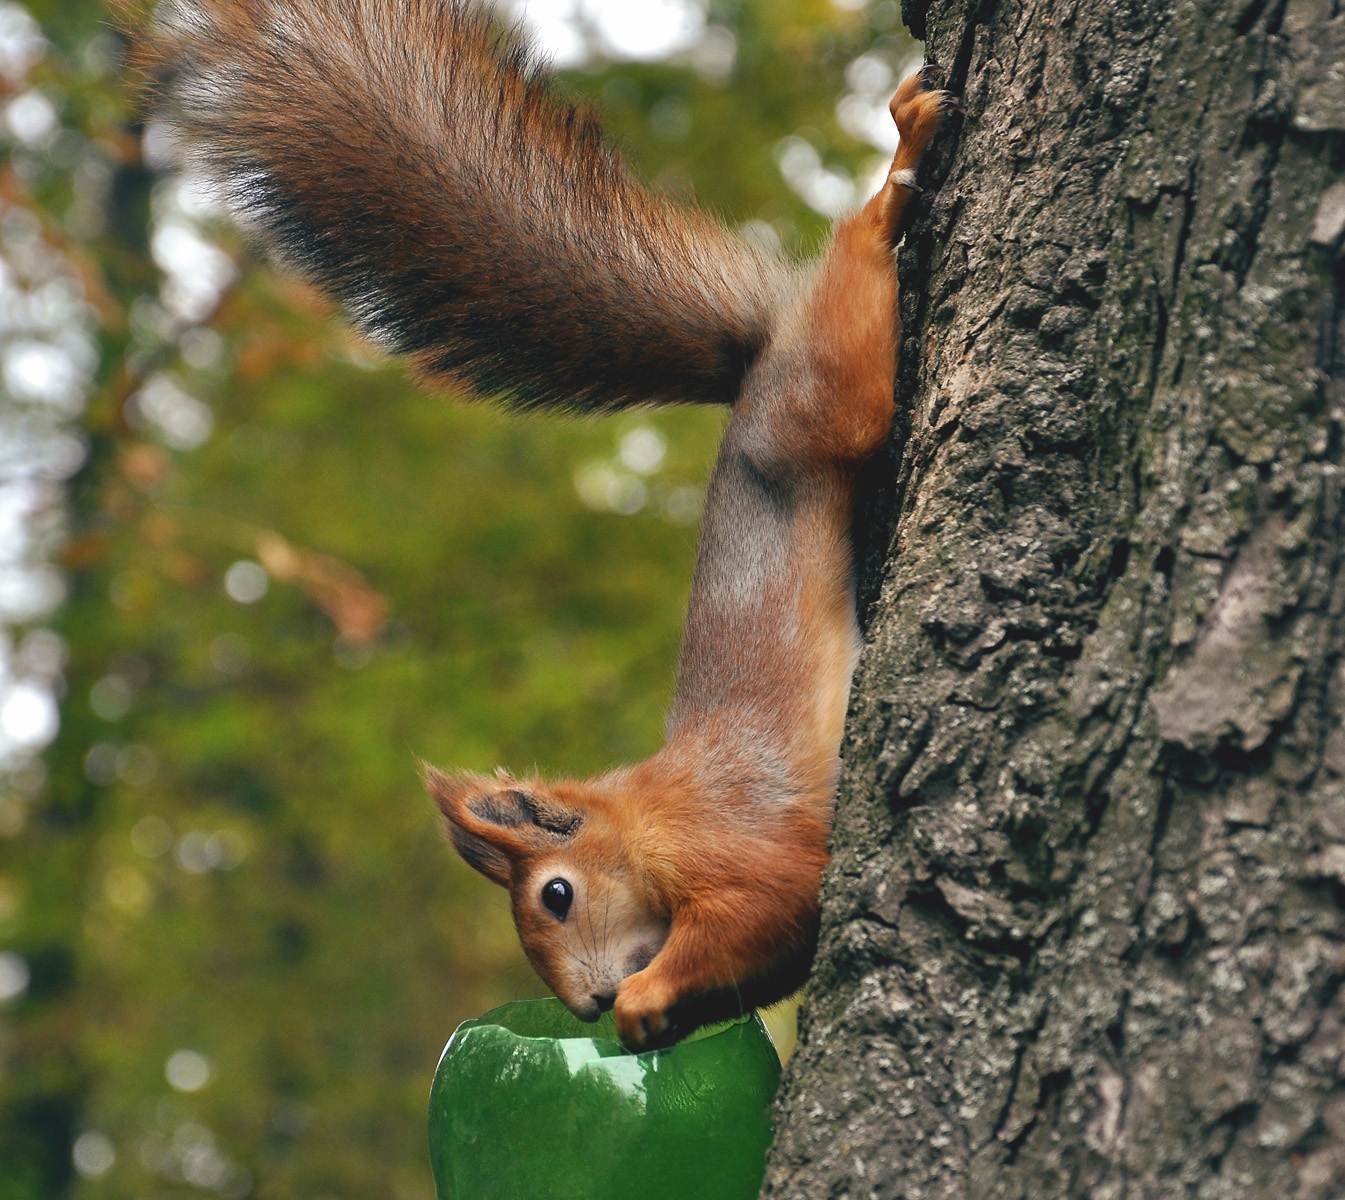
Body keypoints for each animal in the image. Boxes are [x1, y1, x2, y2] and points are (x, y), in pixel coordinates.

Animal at [141, 0, 952, 1049]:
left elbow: (764, 907)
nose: (592, 1003)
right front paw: (652, 1020)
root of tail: (760, 354)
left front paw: (646, 997)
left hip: (827, 396)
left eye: (555, 896)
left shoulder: (734, 844)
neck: (641, 815)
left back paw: (898, 169)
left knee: (856, 279)